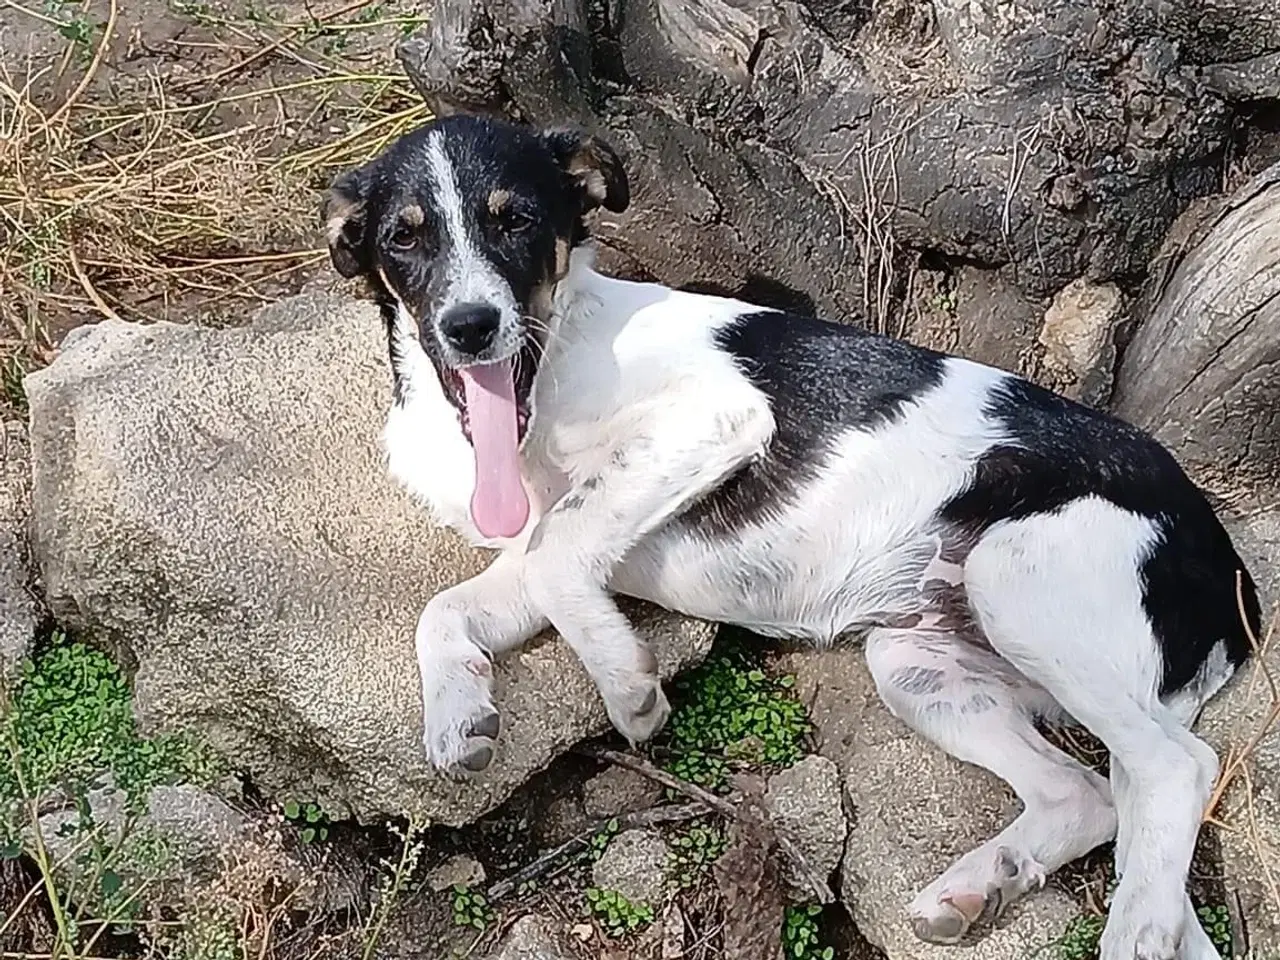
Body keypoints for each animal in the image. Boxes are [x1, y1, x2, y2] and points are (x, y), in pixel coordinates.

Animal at [325, 114, 1264, 960]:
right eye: (404, 238)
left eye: (516, 218)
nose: (471, 326)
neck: (548, 367)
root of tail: (1229, 567)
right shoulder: (538, 552)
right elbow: (449, 608)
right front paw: (458, 718)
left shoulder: (715, 418)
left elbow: (562, 553)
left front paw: (626, 684)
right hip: (919, 664)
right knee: (1091, 796)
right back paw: (979, 887)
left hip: (1019, 577)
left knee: (1175, 771)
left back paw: (1131, 932)